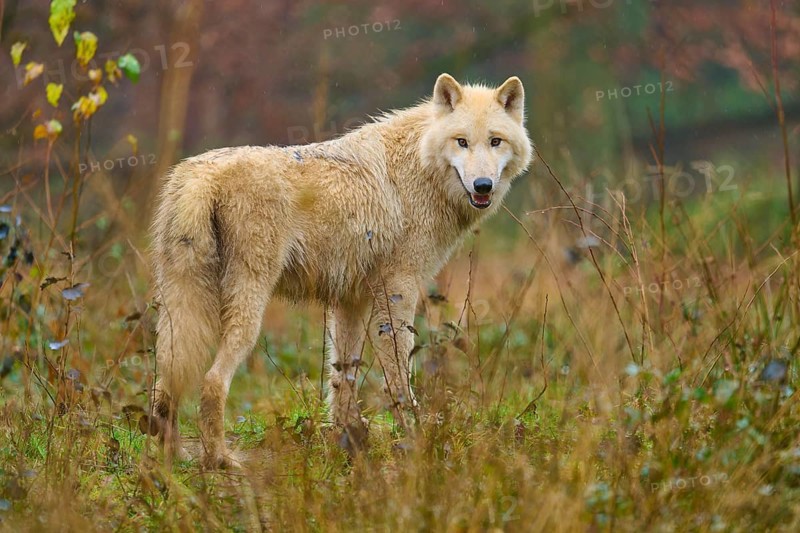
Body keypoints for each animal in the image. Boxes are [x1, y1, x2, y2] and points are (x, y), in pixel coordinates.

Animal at [150, 73, 534, 468]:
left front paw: (349, 441)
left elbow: (343, 377)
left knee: (165, 383)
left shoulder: (350, 301)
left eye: (495, 141)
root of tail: (200, 175)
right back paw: (220, 459)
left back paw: (171, 459)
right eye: (462, 142)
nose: (483, 185)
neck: (420, 168)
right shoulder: (398, 291)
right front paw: (415, 436)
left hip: (179, 311)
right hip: (248, 309)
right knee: (212, 381)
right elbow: (398, 374)